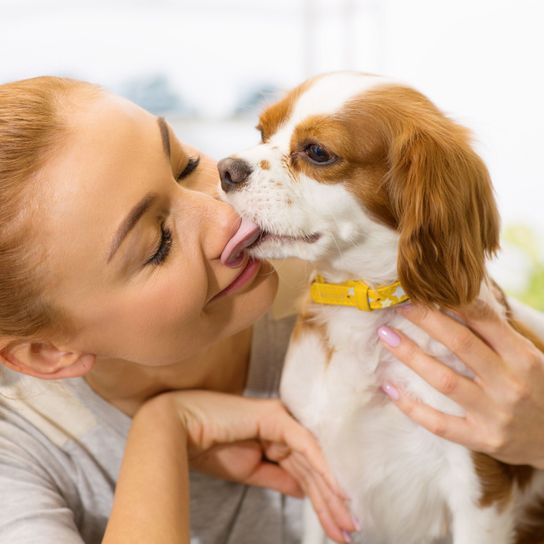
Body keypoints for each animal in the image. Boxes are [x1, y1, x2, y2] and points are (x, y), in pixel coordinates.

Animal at [217, 72, 544, 544]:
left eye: (318, 152)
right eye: (262, 133)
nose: (224, 169)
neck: (365, 305)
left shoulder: (479, 490)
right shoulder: (323, 482)